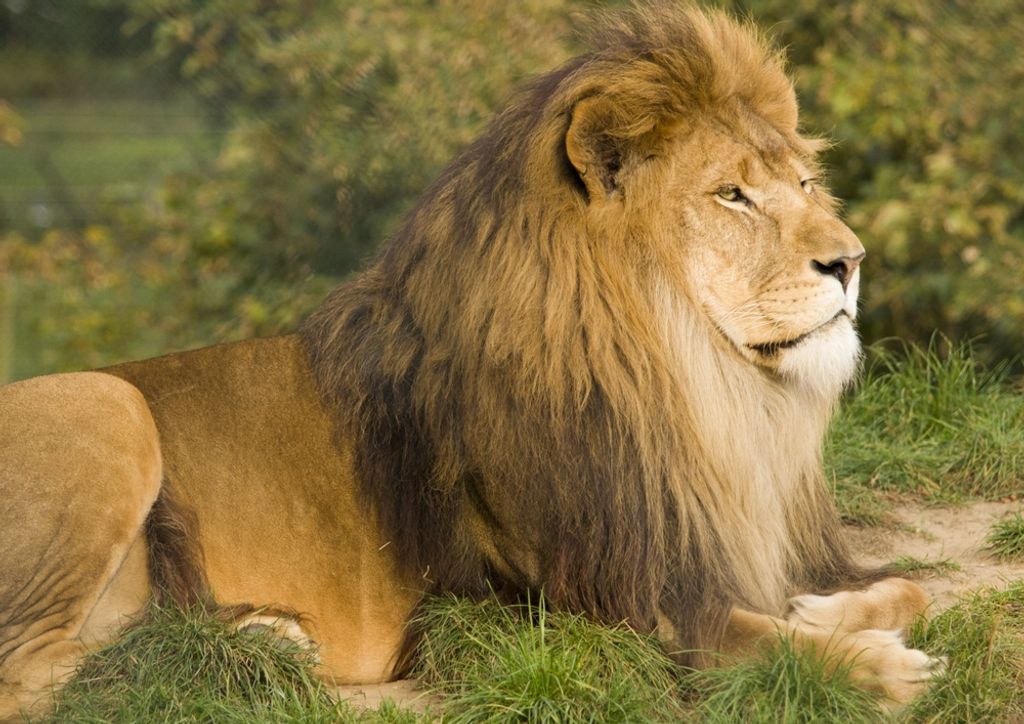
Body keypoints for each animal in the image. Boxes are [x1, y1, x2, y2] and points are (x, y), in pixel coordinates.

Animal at [0, 4, 942, 719]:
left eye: (804, 184)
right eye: (731, 195)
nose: (851, 261)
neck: (703, 391)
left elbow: (908, 585)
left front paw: (826, 611)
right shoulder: (602, 604)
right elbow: (756, 646)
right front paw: (874, 667)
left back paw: (258, 639)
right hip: (105, 404)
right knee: (37, 675)